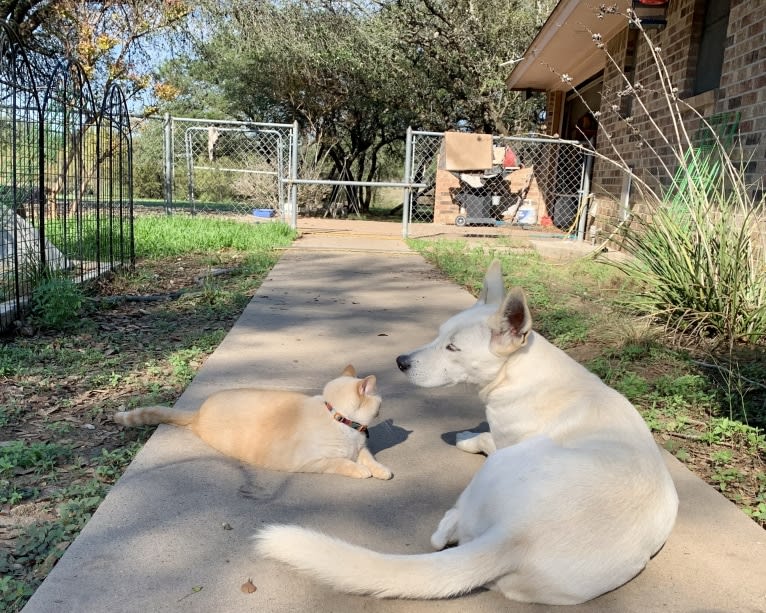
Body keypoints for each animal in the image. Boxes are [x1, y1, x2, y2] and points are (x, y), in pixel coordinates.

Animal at [115, 364, 390, 478]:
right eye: (380, 402)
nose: (382, 410)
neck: (339, 419)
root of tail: (198, 413)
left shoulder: (362, 449)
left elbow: (369, 459)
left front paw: (381, 471)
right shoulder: (316, 462)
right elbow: (343, 463)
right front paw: (361, 471)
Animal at [255, 260, 680, 604]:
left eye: (453, 348)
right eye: (438, 335)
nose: (400, 361)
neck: (520, 370)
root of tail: (516, 534)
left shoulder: (504, 438)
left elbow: (485, 438)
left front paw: (466, 438)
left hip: (501, 465)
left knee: (445, 532)